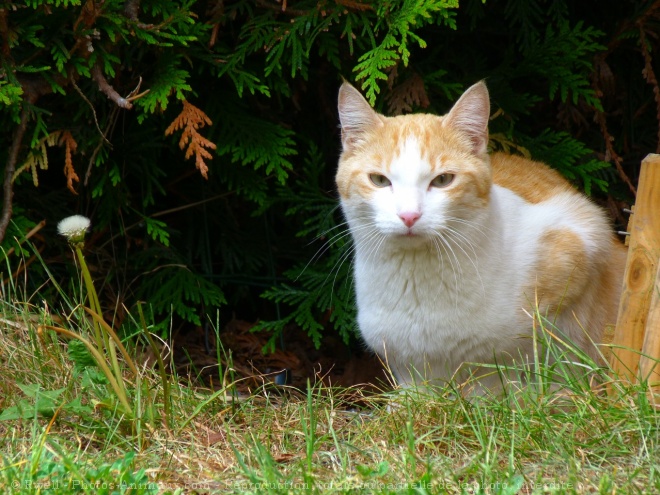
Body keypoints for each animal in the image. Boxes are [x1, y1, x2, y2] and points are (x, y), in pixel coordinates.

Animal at [338, 80, 628, 392]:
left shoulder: (579, 237)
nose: (409, 215)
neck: (418, 281)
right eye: (379, 180)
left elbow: (501, 375)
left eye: (443, 180)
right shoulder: (405, 365)